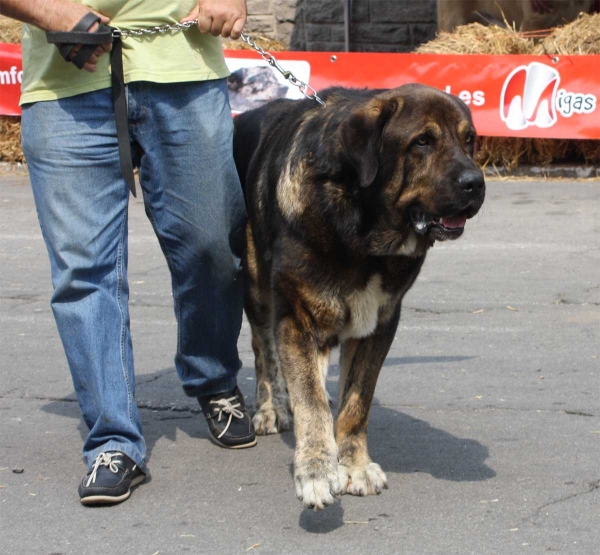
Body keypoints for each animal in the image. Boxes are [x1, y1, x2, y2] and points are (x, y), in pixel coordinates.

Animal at [232, 84, 486, 510]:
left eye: (469, 140)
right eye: (422, 142)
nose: (476, 182)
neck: (362, 236)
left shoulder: (378, 325)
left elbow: (356, 402)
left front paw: (352, 466)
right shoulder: (298, 318)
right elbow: (311, 402)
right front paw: (316, 471)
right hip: (255, 287)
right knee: (264, 350)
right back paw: (271, 407)